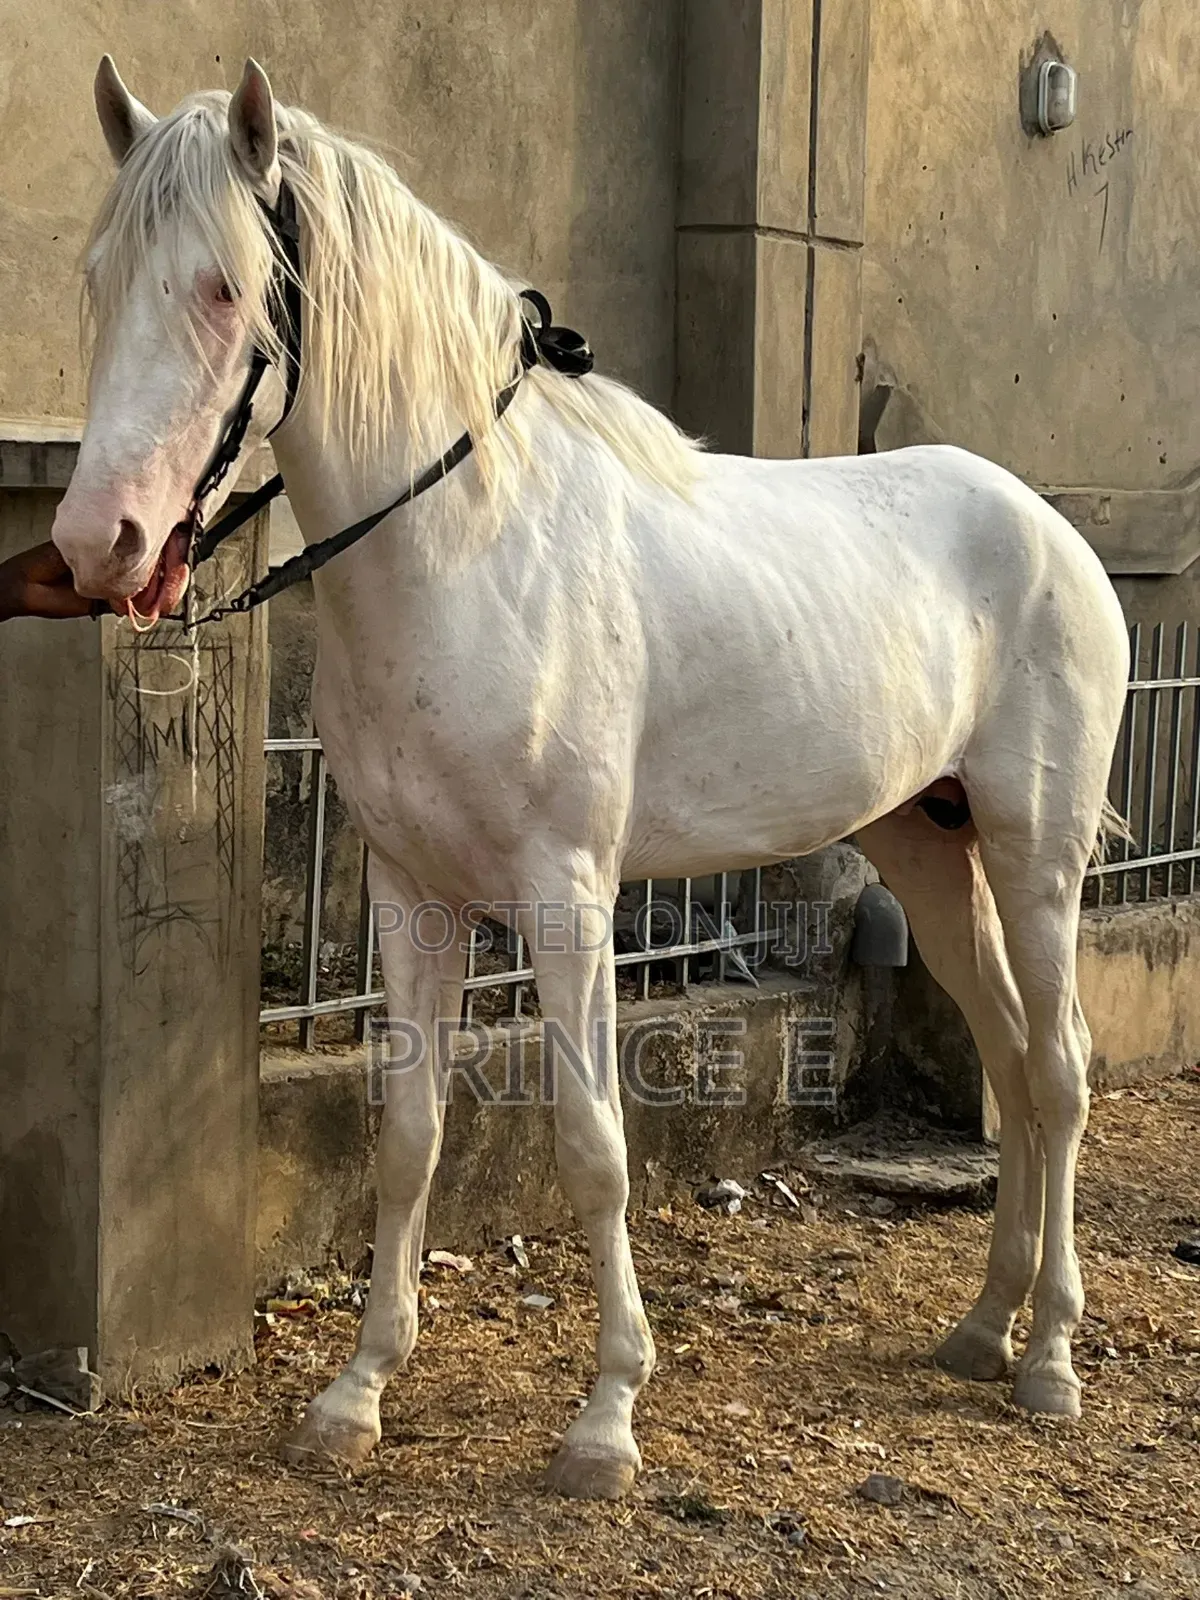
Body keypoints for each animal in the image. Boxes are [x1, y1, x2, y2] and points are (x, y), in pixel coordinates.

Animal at [53, 56, 1130, 1499]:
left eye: (227, 286)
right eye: (101, 278)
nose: (96, 544)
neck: (475, 552)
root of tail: (1050, 526)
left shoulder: (568, 897)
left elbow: (593, 1144)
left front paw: (608, 1416)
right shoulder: (410, 892)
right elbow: (410, 1139)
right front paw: (355, 1394)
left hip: (1033, 850)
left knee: (1059, 1070)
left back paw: (1051, 1359)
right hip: (926, 844)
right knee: (1011, 1062)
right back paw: (982, 1328)